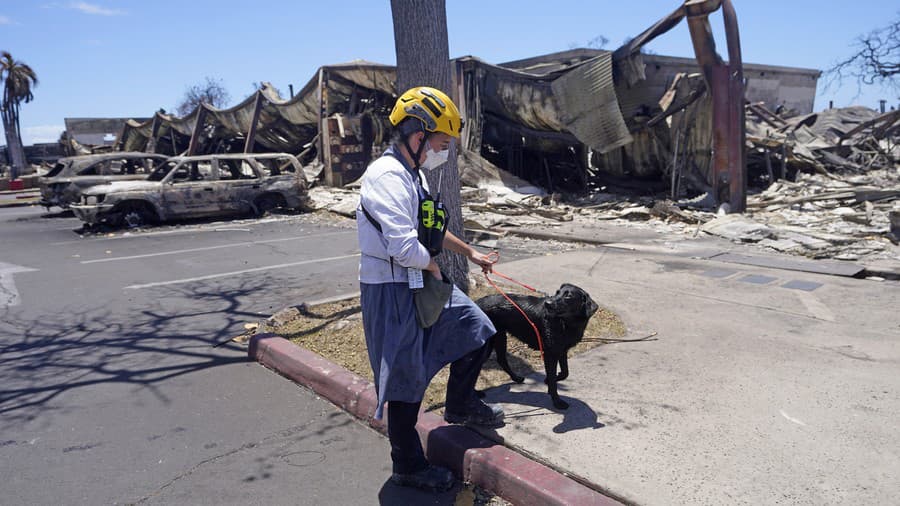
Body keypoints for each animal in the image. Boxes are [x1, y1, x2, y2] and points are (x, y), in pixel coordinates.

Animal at [478, 282, 596, 410]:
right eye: (557, 292)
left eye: (568, 296)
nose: (547, 303)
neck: (566, 323)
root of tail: (476, 302)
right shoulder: (550, 354)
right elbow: (553, 379)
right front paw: (557, 401)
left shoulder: (561, 350)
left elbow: (565, 372)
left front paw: (551, 379)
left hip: (500, 337)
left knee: (501, 360)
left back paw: (516, 378)